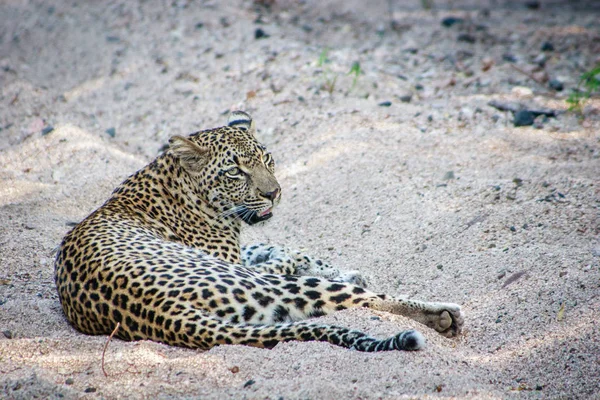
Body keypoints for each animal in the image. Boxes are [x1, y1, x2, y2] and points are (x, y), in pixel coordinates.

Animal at [52, 111, 464, 352]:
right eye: (236, 171)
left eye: (267, 159)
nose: (274, 192)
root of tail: (159, 311)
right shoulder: (231, 259)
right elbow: (283, 255)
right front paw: (336, 269)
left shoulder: (236, 250)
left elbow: (278, 246)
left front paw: (340, 267)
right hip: (256, 284)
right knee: (366, 301)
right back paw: (443, 315)